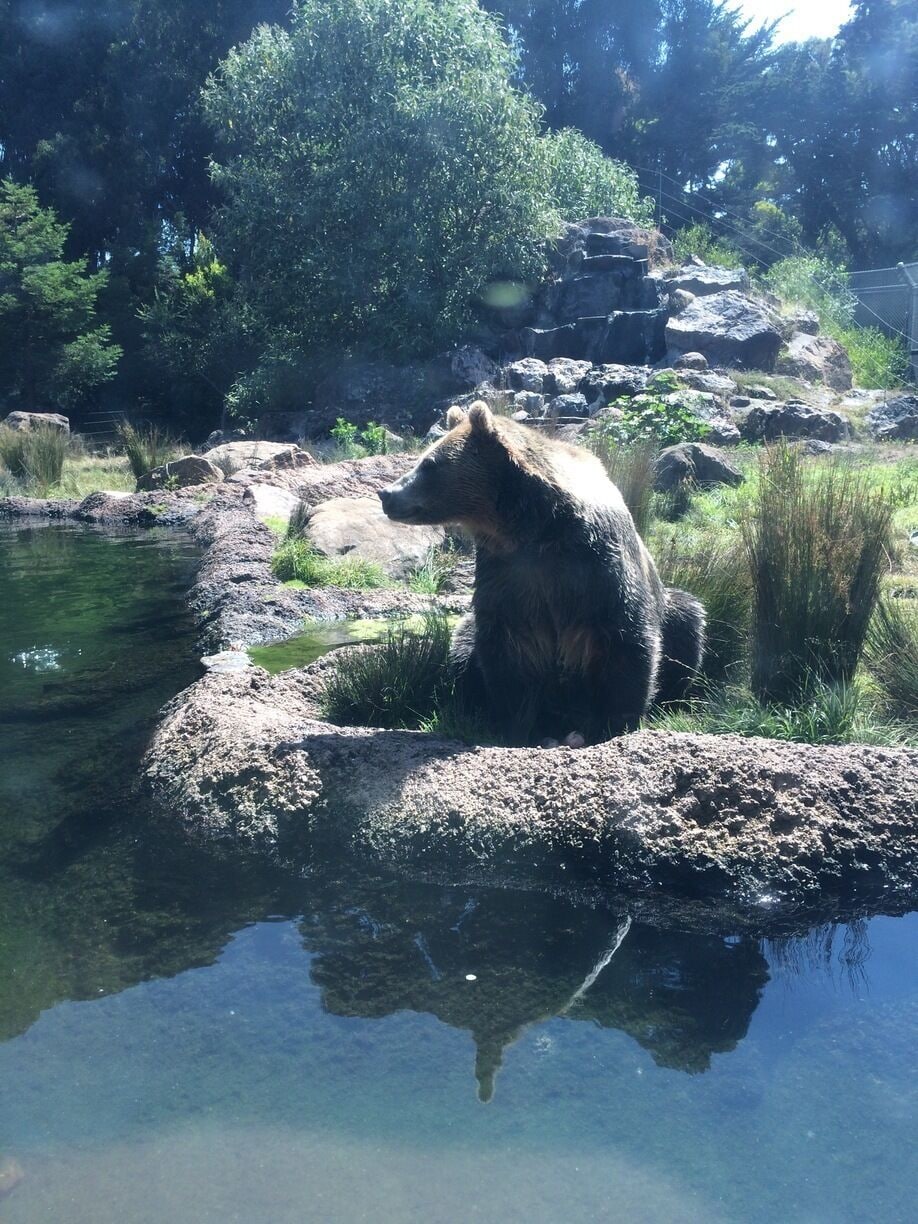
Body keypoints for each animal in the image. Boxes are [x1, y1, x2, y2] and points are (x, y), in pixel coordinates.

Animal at [378, 402, 704, 746]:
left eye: (430, 463)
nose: (387, 493)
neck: (535, 526)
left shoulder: (597, 566)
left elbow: (626, 637)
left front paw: (613, 723)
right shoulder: (509, 573)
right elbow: (507, 645)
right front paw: (519, 725)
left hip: (672, 610)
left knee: (687, 620)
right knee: (463, 644)